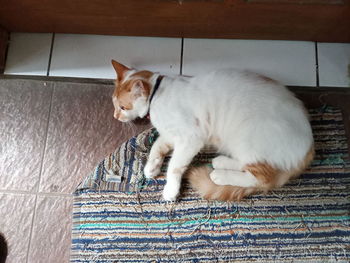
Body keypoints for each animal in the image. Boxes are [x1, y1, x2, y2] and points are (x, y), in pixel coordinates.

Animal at [110, 60, 314, 202]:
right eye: (114, 104)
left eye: (123, 107)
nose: (115, 117)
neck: (156, 94)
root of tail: (310, 146)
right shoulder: (170, 134)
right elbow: (157, 147)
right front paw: (151, 167)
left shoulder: (190, 138)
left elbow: (175, 165)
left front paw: (171, 189)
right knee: (247, 164)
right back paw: (221, 162)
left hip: (246, 137)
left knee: (262, 179)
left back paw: (220, 175)